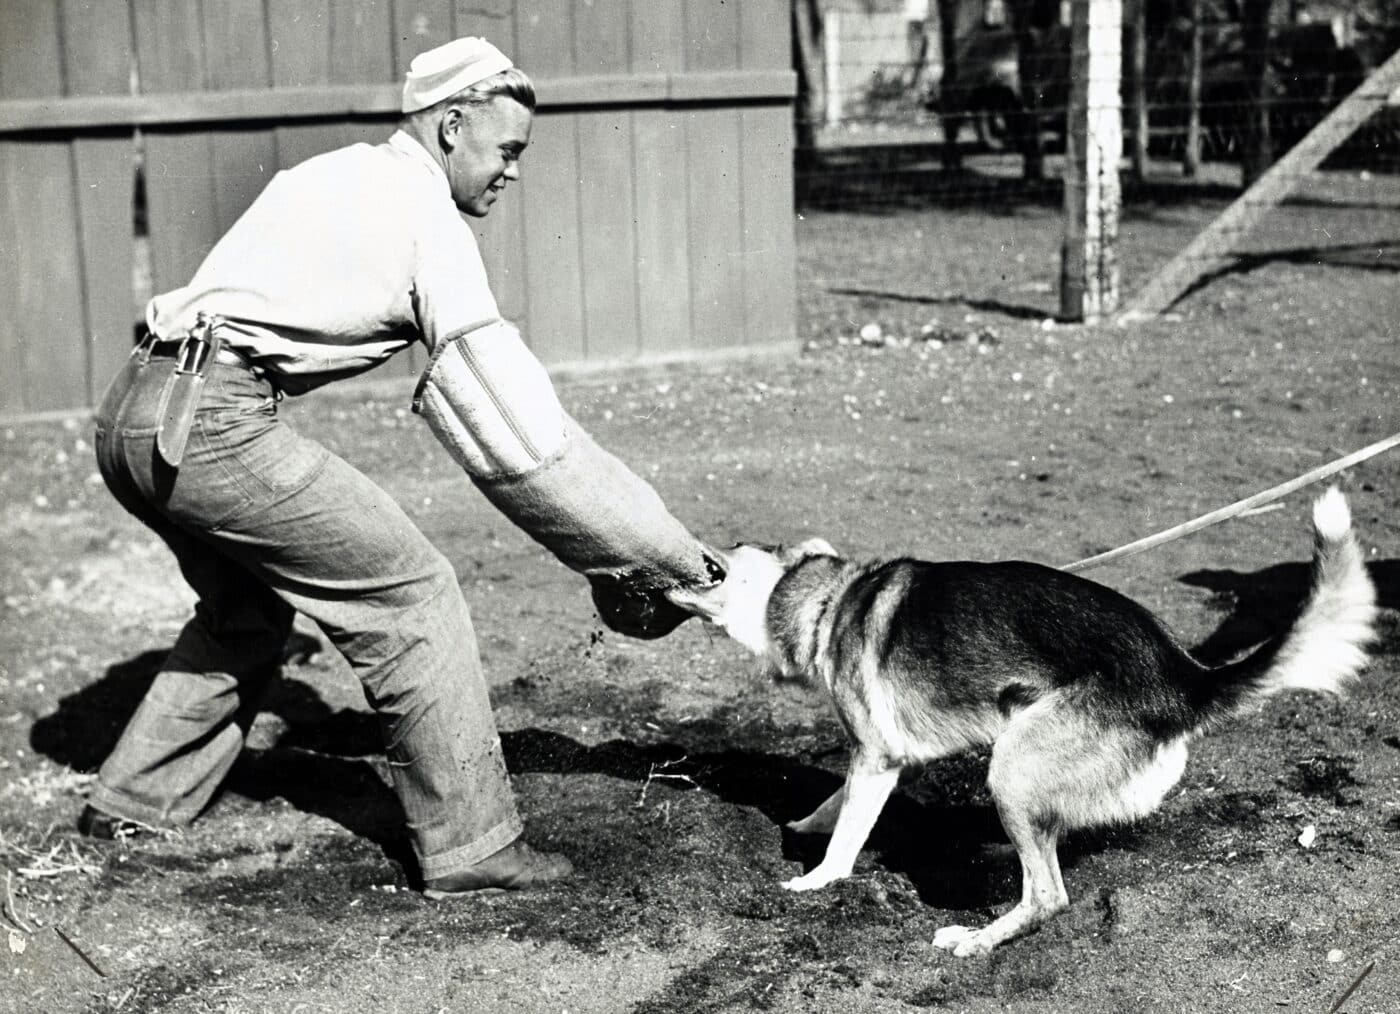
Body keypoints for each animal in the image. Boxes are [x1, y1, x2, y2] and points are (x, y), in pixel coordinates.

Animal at [669, 487, 1377, 952]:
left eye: (740, 548)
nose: (700, 546)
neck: (831, 600)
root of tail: (1184, 677)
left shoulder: (875, 756)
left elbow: (846, 837)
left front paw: (816, 881)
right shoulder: (885, 759)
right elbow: (836, 801)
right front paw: (807, 824)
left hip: (1009, 772)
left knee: (1047, 896)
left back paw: (977, 940)